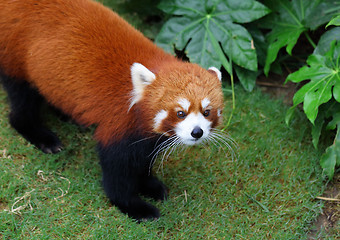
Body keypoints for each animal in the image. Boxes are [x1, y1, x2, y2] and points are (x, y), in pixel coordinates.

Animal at [0, 0, 224, 221]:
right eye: (180, 113)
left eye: (207, 112)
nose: (197, 132)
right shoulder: (118, 121)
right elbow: (117, 171)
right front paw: (134, 207)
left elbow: (143, 160)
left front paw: (150, 185)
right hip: (15, 55)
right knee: (22, 101)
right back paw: (41, 136)